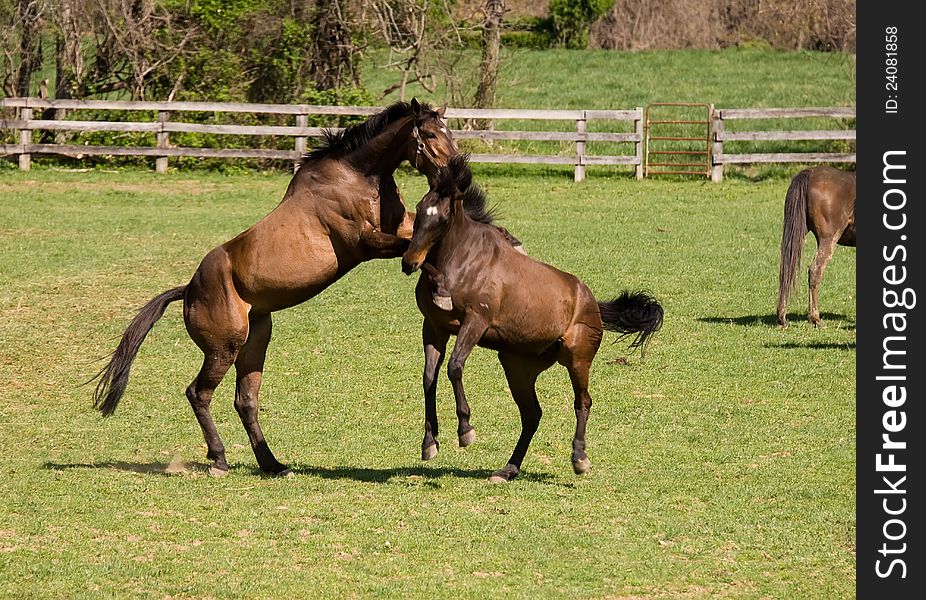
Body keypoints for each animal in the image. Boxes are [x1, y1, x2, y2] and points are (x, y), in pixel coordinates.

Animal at [90, 99, 460, 478]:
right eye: (431, 134)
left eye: (449, 131)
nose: (454, 173)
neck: (360, 177)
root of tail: (189, 290)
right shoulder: (365, 242)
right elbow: (414, 252)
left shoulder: (403, 226)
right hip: (223, 349)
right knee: (199, 393)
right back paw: (220, 459)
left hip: (254, 344)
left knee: (245, 401)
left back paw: (273, 464)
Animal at [402, 155, 664, 482]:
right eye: (420, 209)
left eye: (443, 218)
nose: (409, 262)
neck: (459, 264)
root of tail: (591, 301)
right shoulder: (435, 327)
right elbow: (429, 378)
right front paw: (430, 443)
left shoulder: (475, 322)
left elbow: (454, 367)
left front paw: (465, 430)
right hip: (517, 366)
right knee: (532, 414)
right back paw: (508, 469)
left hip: (577, 359)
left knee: (582, 402)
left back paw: (579, 458)